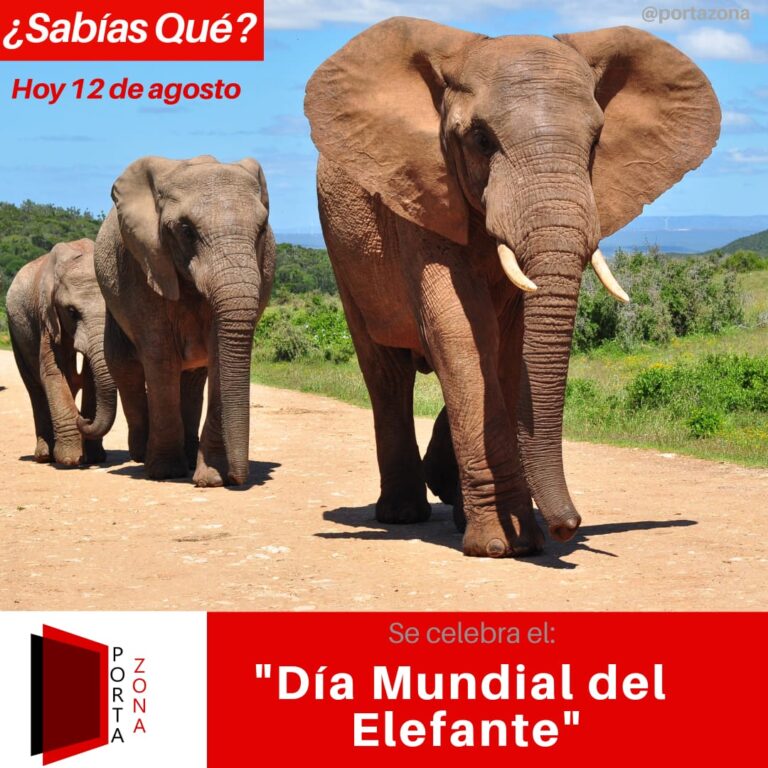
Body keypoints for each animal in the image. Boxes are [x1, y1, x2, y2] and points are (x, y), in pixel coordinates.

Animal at [7, 239, 116, 466]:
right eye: (72, 312)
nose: (83, 419)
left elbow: (92, 377)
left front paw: (94, 458)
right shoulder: (46, 315)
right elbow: (52, 373)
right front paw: (69, 460)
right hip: (15, 332)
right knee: (35, 389)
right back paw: (43, 456)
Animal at [82, 155, 275, 486]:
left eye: (262, 228)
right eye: (186, 231)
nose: (240, 479)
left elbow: (218, 354)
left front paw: (211, 478)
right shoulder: (143, 263)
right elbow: (160, 355)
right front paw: (165, 472)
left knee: (193, 376)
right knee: (124, 366)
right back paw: (142, 455)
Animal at [305, 18, 720, 556]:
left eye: (596, 142)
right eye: (481, 140)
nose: (569, 526)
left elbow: (507, 346)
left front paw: (517, 534)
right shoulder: (421, 191)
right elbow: (461, 331)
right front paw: (505, 544)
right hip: (343, 251)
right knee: (386, 373)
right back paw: (402, 514)